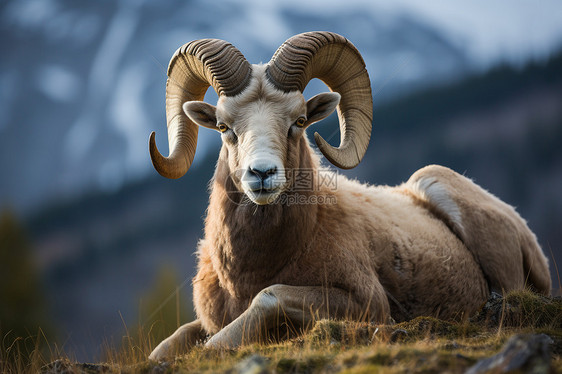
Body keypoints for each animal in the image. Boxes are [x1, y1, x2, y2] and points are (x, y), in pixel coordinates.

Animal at [147, 31, 548, 360]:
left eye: (299, 122)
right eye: (223, 126)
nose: (262, 174)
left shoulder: (364, 303)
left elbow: (266, 299)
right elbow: (164, 346)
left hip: (439, 189)